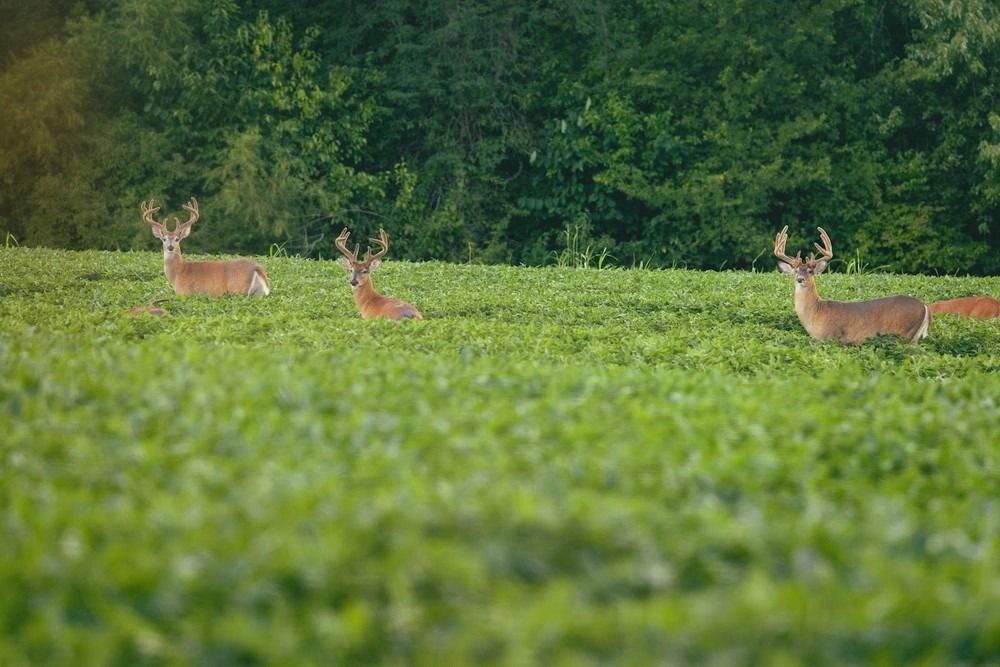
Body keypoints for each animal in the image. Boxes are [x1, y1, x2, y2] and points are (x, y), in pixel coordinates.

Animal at [141, 198, 271, 296]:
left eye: (177, 239)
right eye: (164, 239)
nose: (170, 247)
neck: (178, 273)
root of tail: (257, 269)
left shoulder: (185, 293)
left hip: (238, 289)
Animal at [774, 226, 929, 344]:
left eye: (810, 271)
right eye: (795, 271)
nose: (800, 279)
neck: (815, 314)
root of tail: (925, 307)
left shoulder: (832, 336)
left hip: (905, 333)